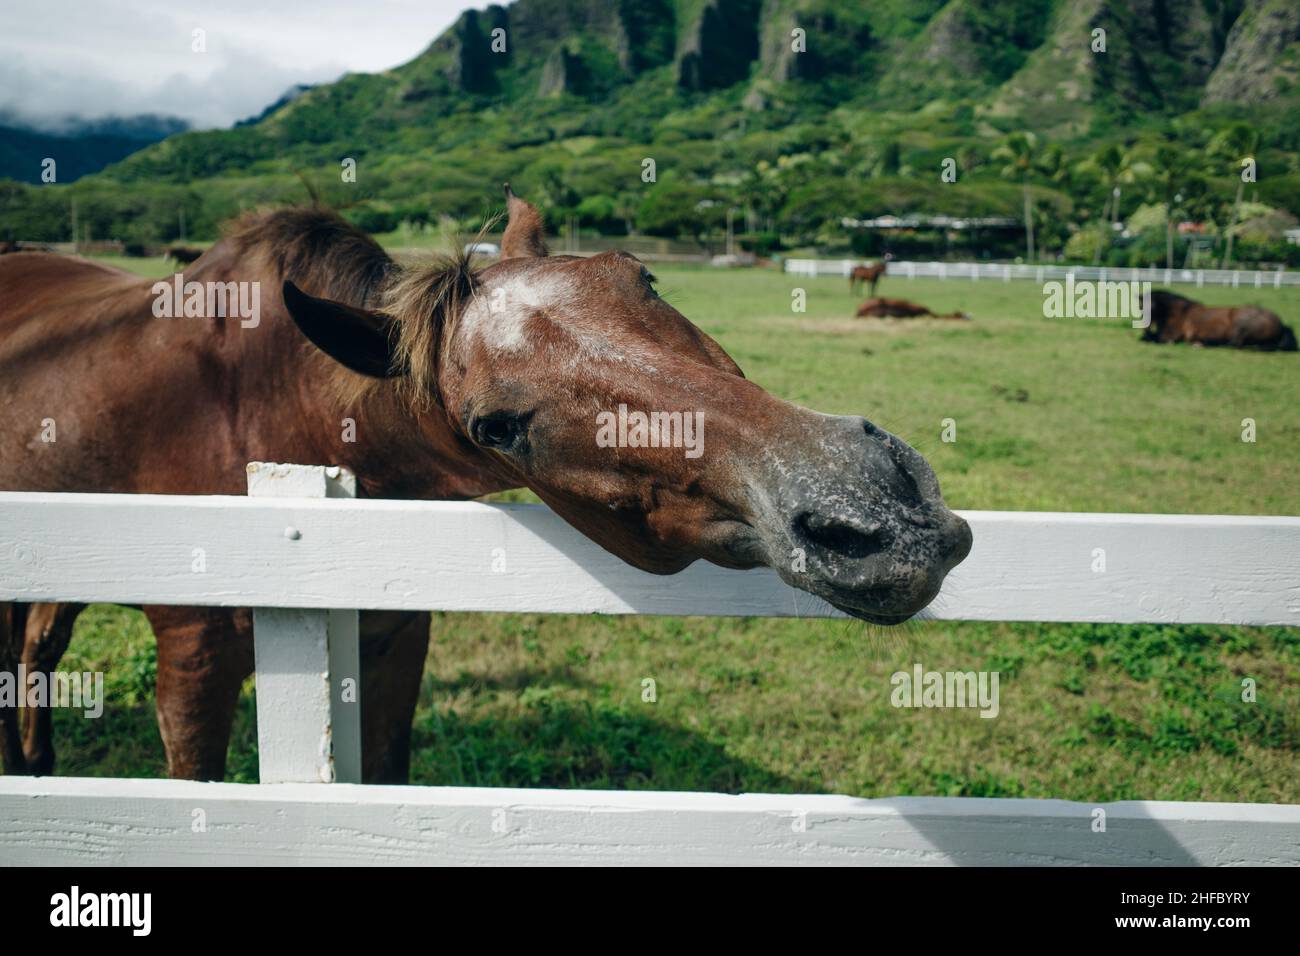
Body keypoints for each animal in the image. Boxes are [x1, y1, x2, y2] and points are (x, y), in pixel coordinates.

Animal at [1142, 290, 1296, 351]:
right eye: (1140, 306)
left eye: (1151, 306)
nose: (1145, 327)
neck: (1179, 312)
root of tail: (1282, 325)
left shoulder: (1169, 337)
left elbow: (1156, 339)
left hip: (1240, 326)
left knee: (1234, 344)